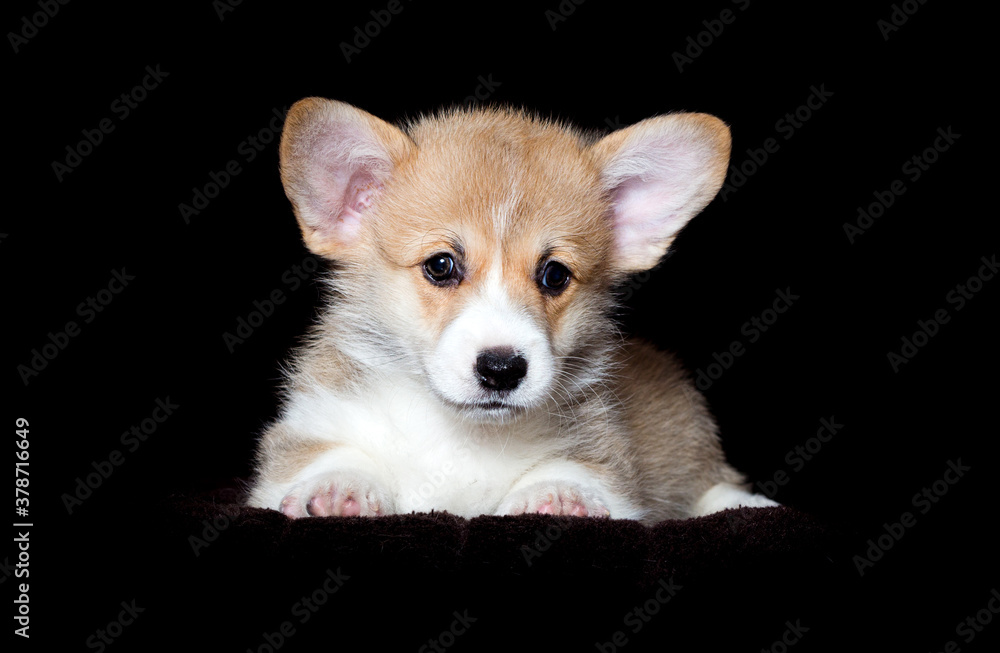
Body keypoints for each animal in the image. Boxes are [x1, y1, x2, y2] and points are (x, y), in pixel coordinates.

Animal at [246, 98, 776, 524]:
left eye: (554, 275)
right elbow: (323, 456)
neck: (463, 433)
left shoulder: (606, 459)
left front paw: (560, 495)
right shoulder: (308, 428)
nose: (502, 369)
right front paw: (336, 487)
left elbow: (583, 472)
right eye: (441, 266)